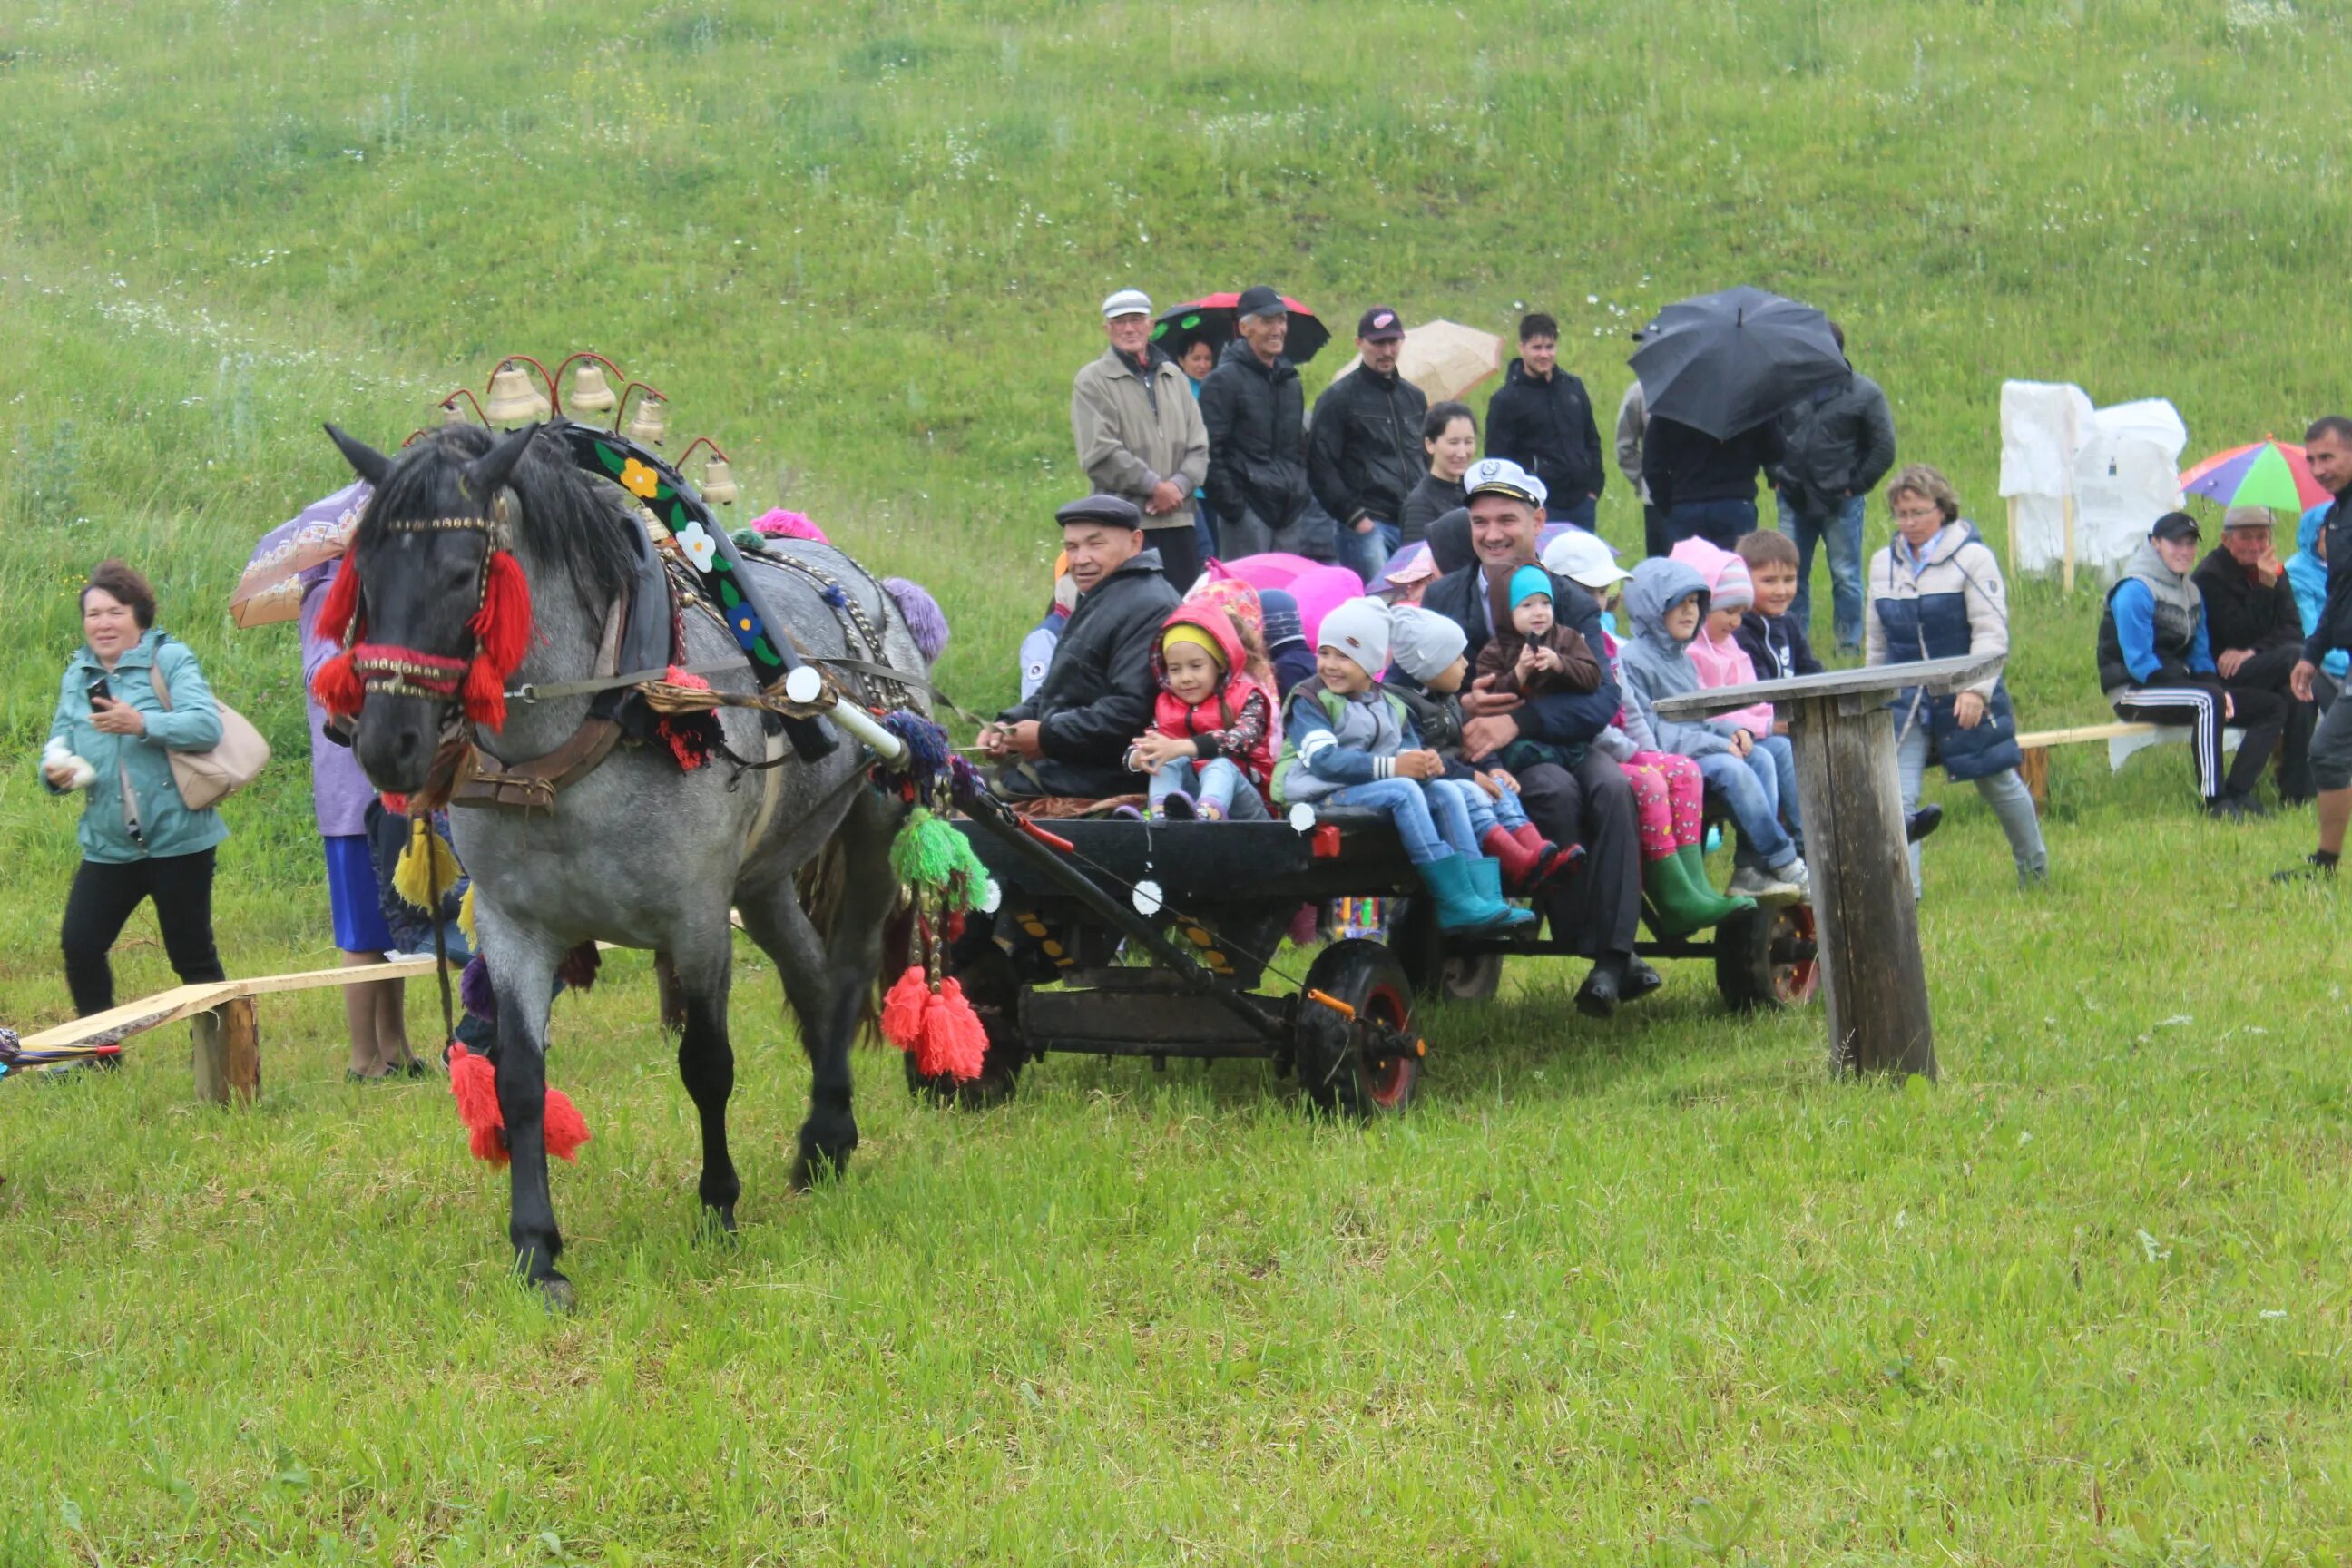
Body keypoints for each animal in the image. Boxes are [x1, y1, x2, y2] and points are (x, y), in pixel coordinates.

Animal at [324, 420, 926, 1316]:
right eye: (362, 572)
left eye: (463, 574)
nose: (384, 744)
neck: (589, 729)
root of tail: (859, 582)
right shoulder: (513, 928)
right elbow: (520, 1083)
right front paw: (537, 1249)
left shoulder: (697, 919)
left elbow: (707, 1066)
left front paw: (718, 1207)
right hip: (762, 878)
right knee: (814, 978)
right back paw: (828, 1137)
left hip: (874, 817)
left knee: (849, 970)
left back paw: (823, 1130)